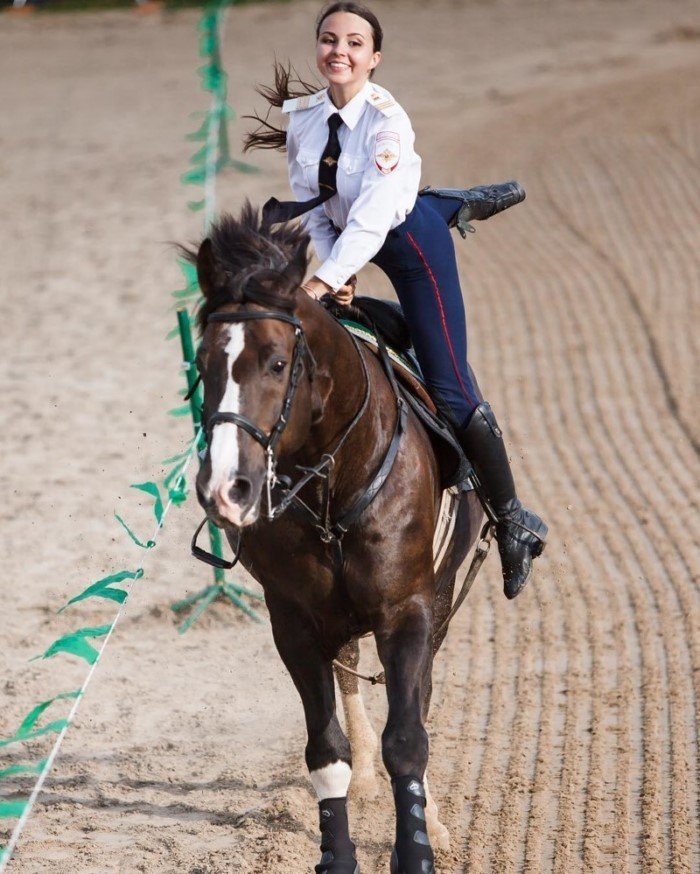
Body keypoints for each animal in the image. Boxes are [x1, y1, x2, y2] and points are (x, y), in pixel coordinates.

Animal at [186, 206, 482, 872]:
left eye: (277, 363)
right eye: (203, 363)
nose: (226, 487)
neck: (335, 485)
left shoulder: (409, 608)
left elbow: (409, 735)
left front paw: (419, 847)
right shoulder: (294, 619)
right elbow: (326, 750)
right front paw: (337, 850)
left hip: (440, 593)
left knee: (417, 698)